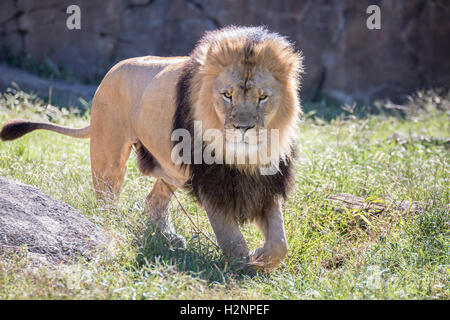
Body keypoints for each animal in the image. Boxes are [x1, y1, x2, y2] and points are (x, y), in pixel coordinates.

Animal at [0, 25, 302, 272]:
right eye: (227, 95)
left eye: (262, 97)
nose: (243, 127)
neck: (244, 155)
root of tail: (112, 70)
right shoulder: (210, 180)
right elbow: (230, 236)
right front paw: (242, 268)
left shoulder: (267, 180)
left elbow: (280, 242)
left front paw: (262, 258)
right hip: (109, 156)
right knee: (106, 198)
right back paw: (109, 226)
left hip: (174, 171)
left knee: (153, 200)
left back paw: (168, 238)